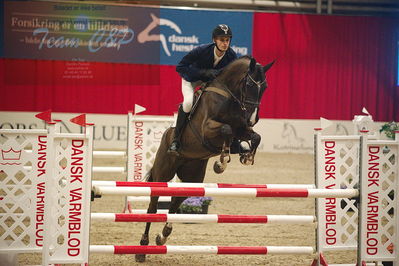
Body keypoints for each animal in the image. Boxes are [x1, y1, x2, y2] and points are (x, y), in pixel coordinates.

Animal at [136, 55, 274, 262]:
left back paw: (163, 235)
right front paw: (221, 162)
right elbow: (226, 129)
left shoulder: (242, 128)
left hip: (192, 176)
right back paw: (142, 248)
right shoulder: (207, 129)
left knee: (176, 202)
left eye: (264, 87)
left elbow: (254, 136)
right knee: (153, 208)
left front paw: (246, 155)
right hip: (163, 174)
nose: (253, 119)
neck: (230, 96)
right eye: (249, 84)